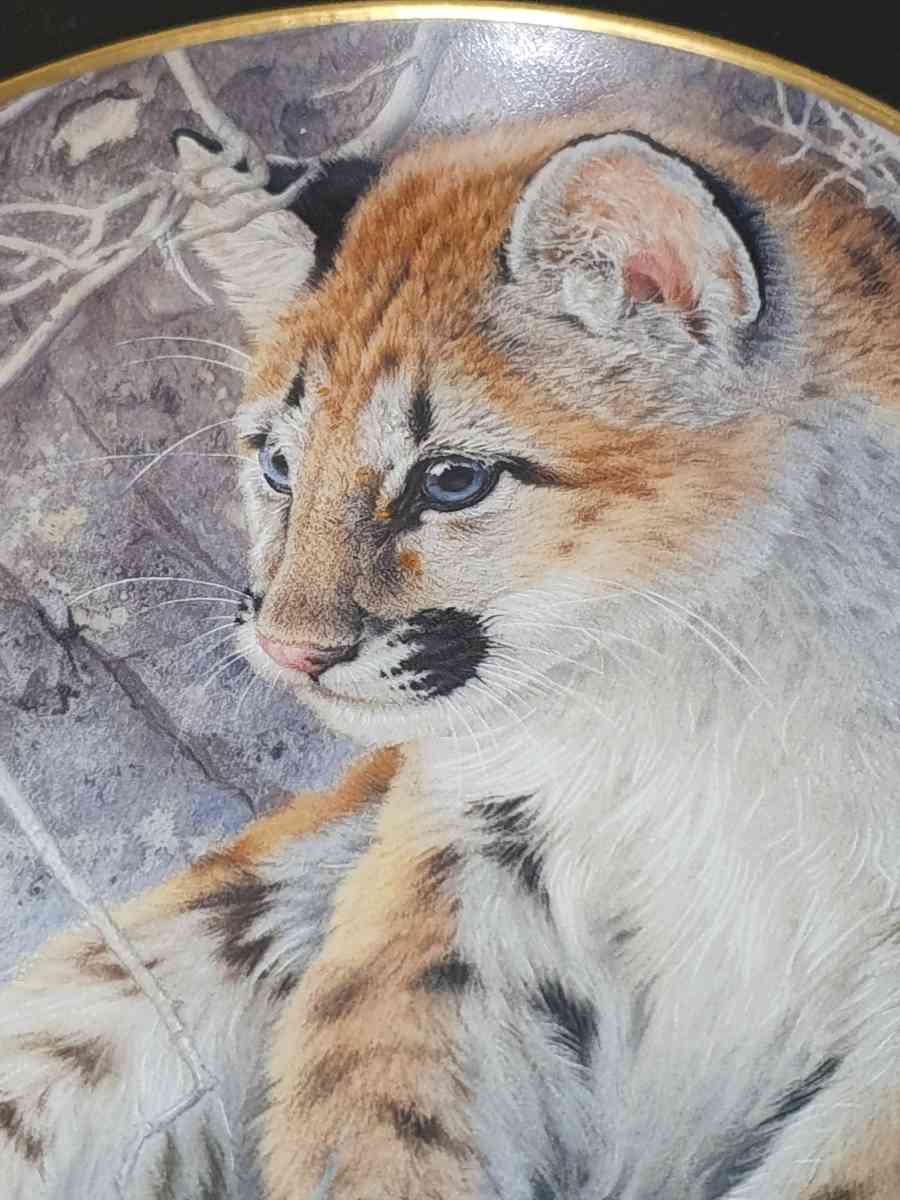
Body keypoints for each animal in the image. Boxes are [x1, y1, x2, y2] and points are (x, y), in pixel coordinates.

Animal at [2, 91, 900, 1200]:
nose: (289, 650)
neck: (684, 694)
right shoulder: (466, 854)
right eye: (279, 465)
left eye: (451, 481)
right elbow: (378, 1108)